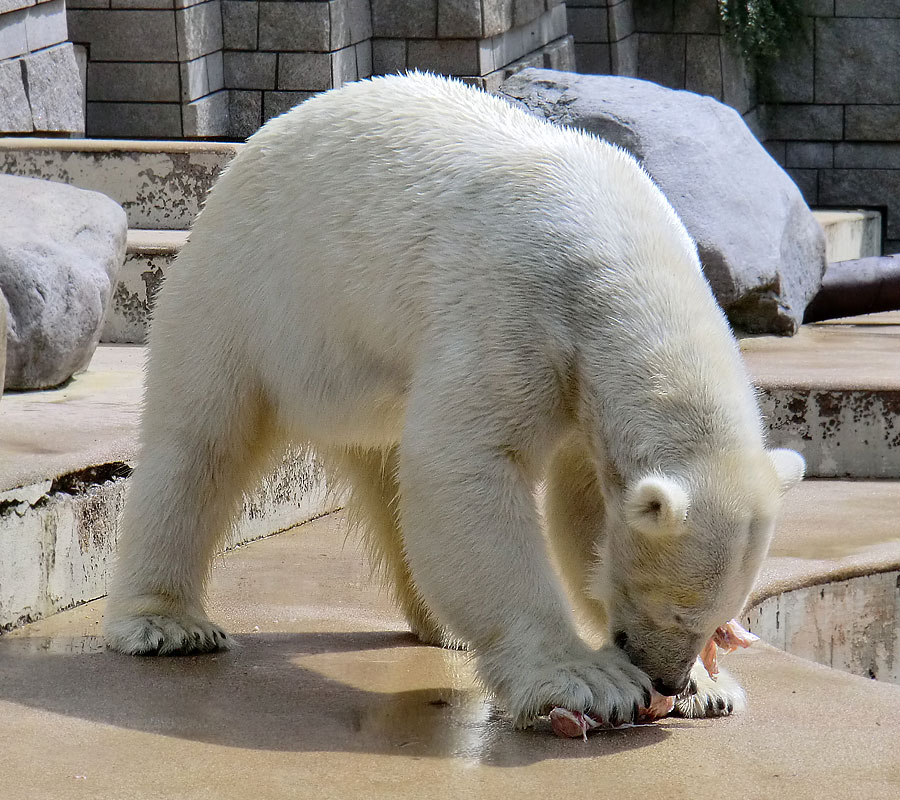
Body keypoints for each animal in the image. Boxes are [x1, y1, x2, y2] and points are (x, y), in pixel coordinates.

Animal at [102, 72, 804, 728]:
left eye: (721, 613)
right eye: (676, 609)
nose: (667, 679)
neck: (622, 252)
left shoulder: (584, 382)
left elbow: (582, 510)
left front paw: (712, 689)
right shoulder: (517, 303)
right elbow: (469, 463)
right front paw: (587, 680)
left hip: (365, 376)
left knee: (389, 472)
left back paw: (438, 624)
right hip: (248, 295)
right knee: (201, 442)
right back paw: (168, 625)